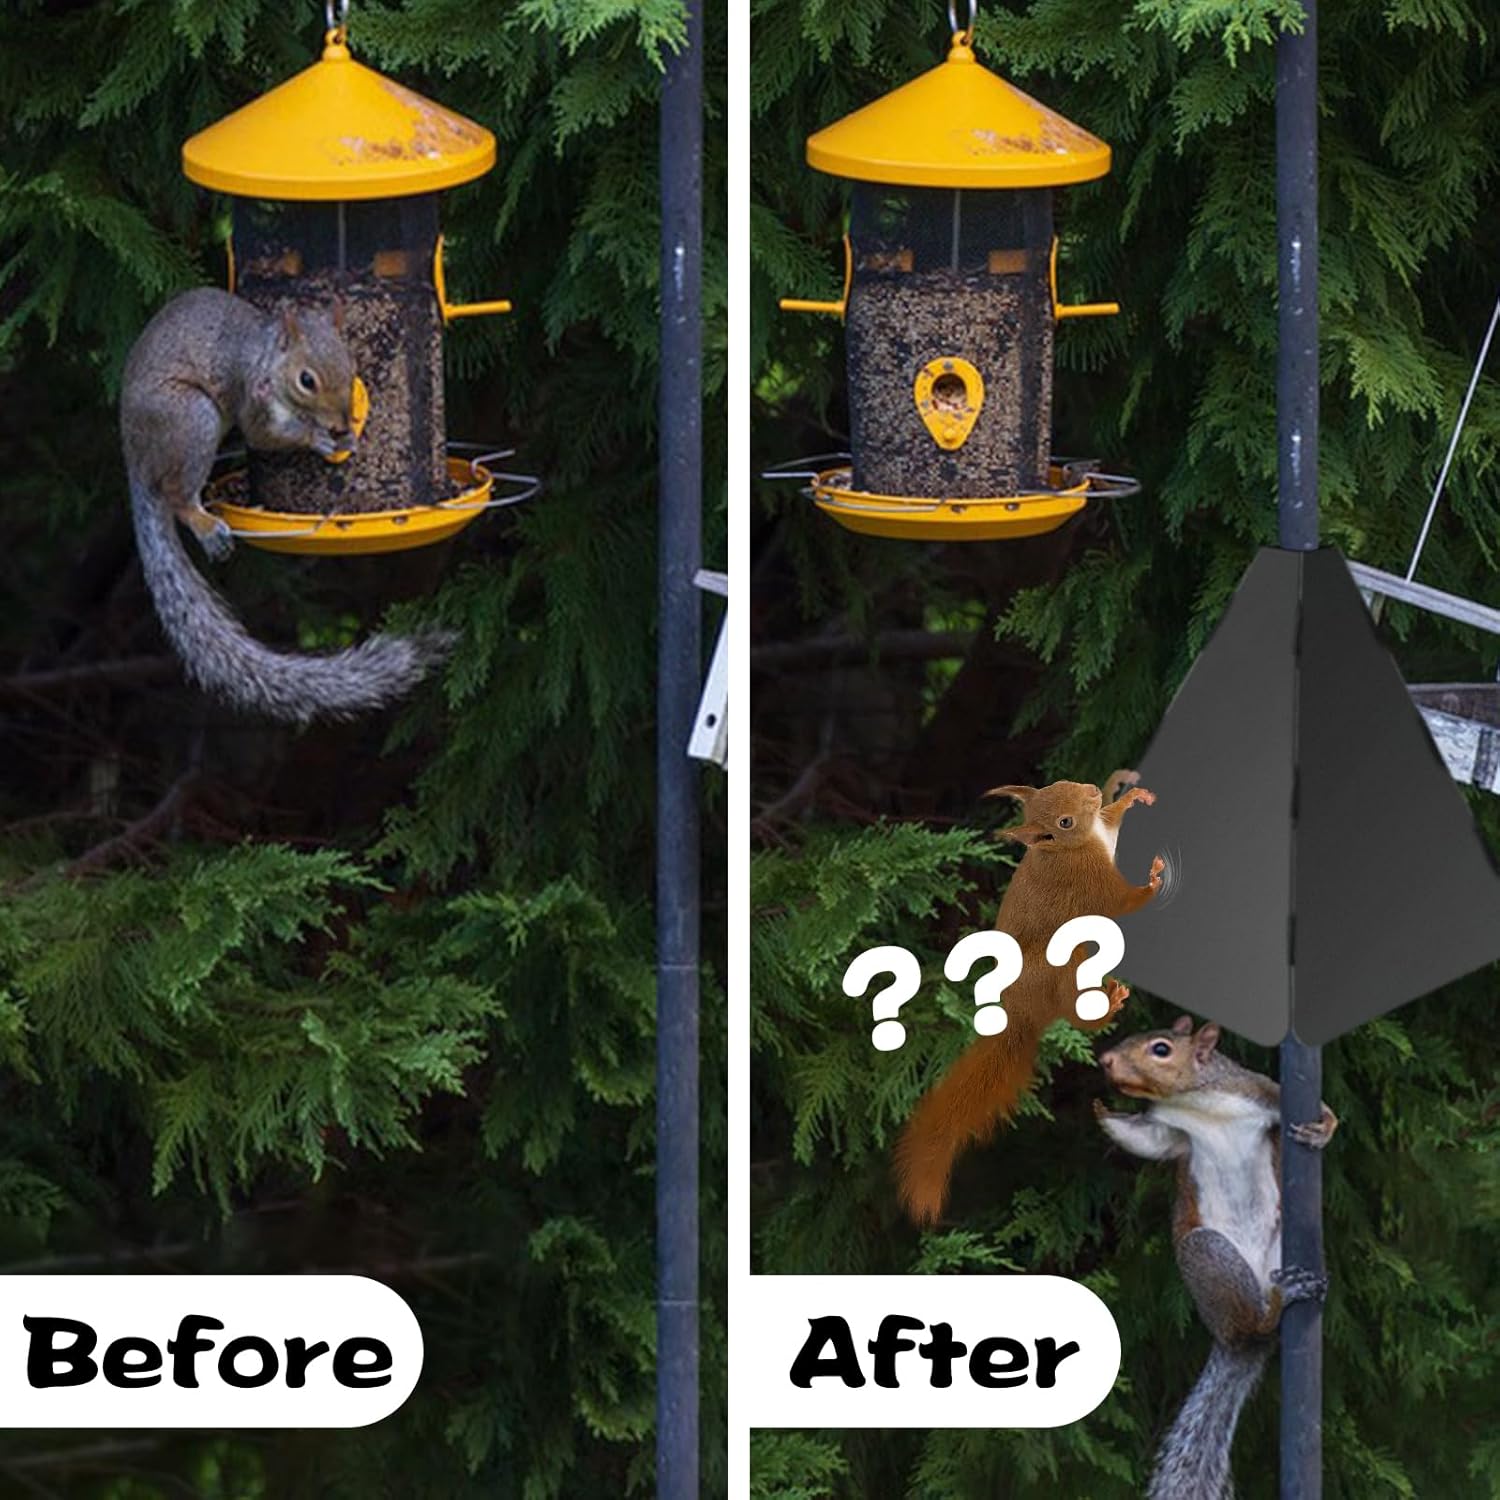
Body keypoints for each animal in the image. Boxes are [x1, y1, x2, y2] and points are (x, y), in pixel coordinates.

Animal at [120, 287, 451, 724]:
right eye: (306, 380)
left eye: (351, 365)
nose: (341, 423)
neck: (270, 359)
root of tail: (136, 460)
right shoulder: (252, 398)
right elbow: (264, 434)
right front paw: (318, 438)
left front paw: (344, 437)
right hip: (190, 418)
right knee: (176, 496)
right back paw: (207, 526)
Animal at [893, 771, 1163, 1225]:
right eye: (1064, 822)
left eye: (1062, 782)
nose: (1092, 790)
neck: (1070, 848)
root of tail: (1020, 1014)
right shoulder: (1092, 882)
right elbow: (1123, 901)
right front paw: (1154, 882)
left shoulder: (1104, 832)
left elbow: (1114, 819)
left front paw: (1129, 797)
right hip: (1064, 965)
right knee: (1076, 1013)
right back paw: (1107, 1005)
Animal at [1096, 1017, 1338, 1500]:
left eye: (1161, 1049)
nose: (1106, 1061)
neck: (1195, 1104)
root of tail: (1232, 1340)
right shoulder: (1167, 1130)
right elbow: (1144, 1141)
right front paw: (1101, 1110)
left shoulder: (1258, 1092)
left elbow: (1294, 1103)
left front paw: (1324, 1125)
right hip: (1209, 1255)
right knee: (1252, 1323)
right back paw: (1280, 1302)